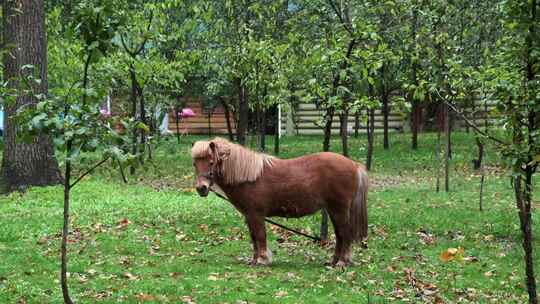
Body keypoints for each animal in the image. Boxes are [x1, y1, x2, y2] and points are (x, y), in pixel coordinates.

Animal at [190, 138, 368, 266]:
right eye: (194, 163)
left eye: (211, 162)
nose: (201, 188)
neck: (248, 176)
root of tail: (354, 165)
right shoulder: (249, 216)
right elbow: (254, 237)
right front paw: (253, 260)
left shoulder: (256, 215)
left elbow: (260, 236)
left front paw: (262, 259)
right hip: (333, 210)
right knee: (340, 235)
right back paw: (334, 261)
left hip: (339, 210)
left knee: (345, 233)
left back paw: (342, 262)